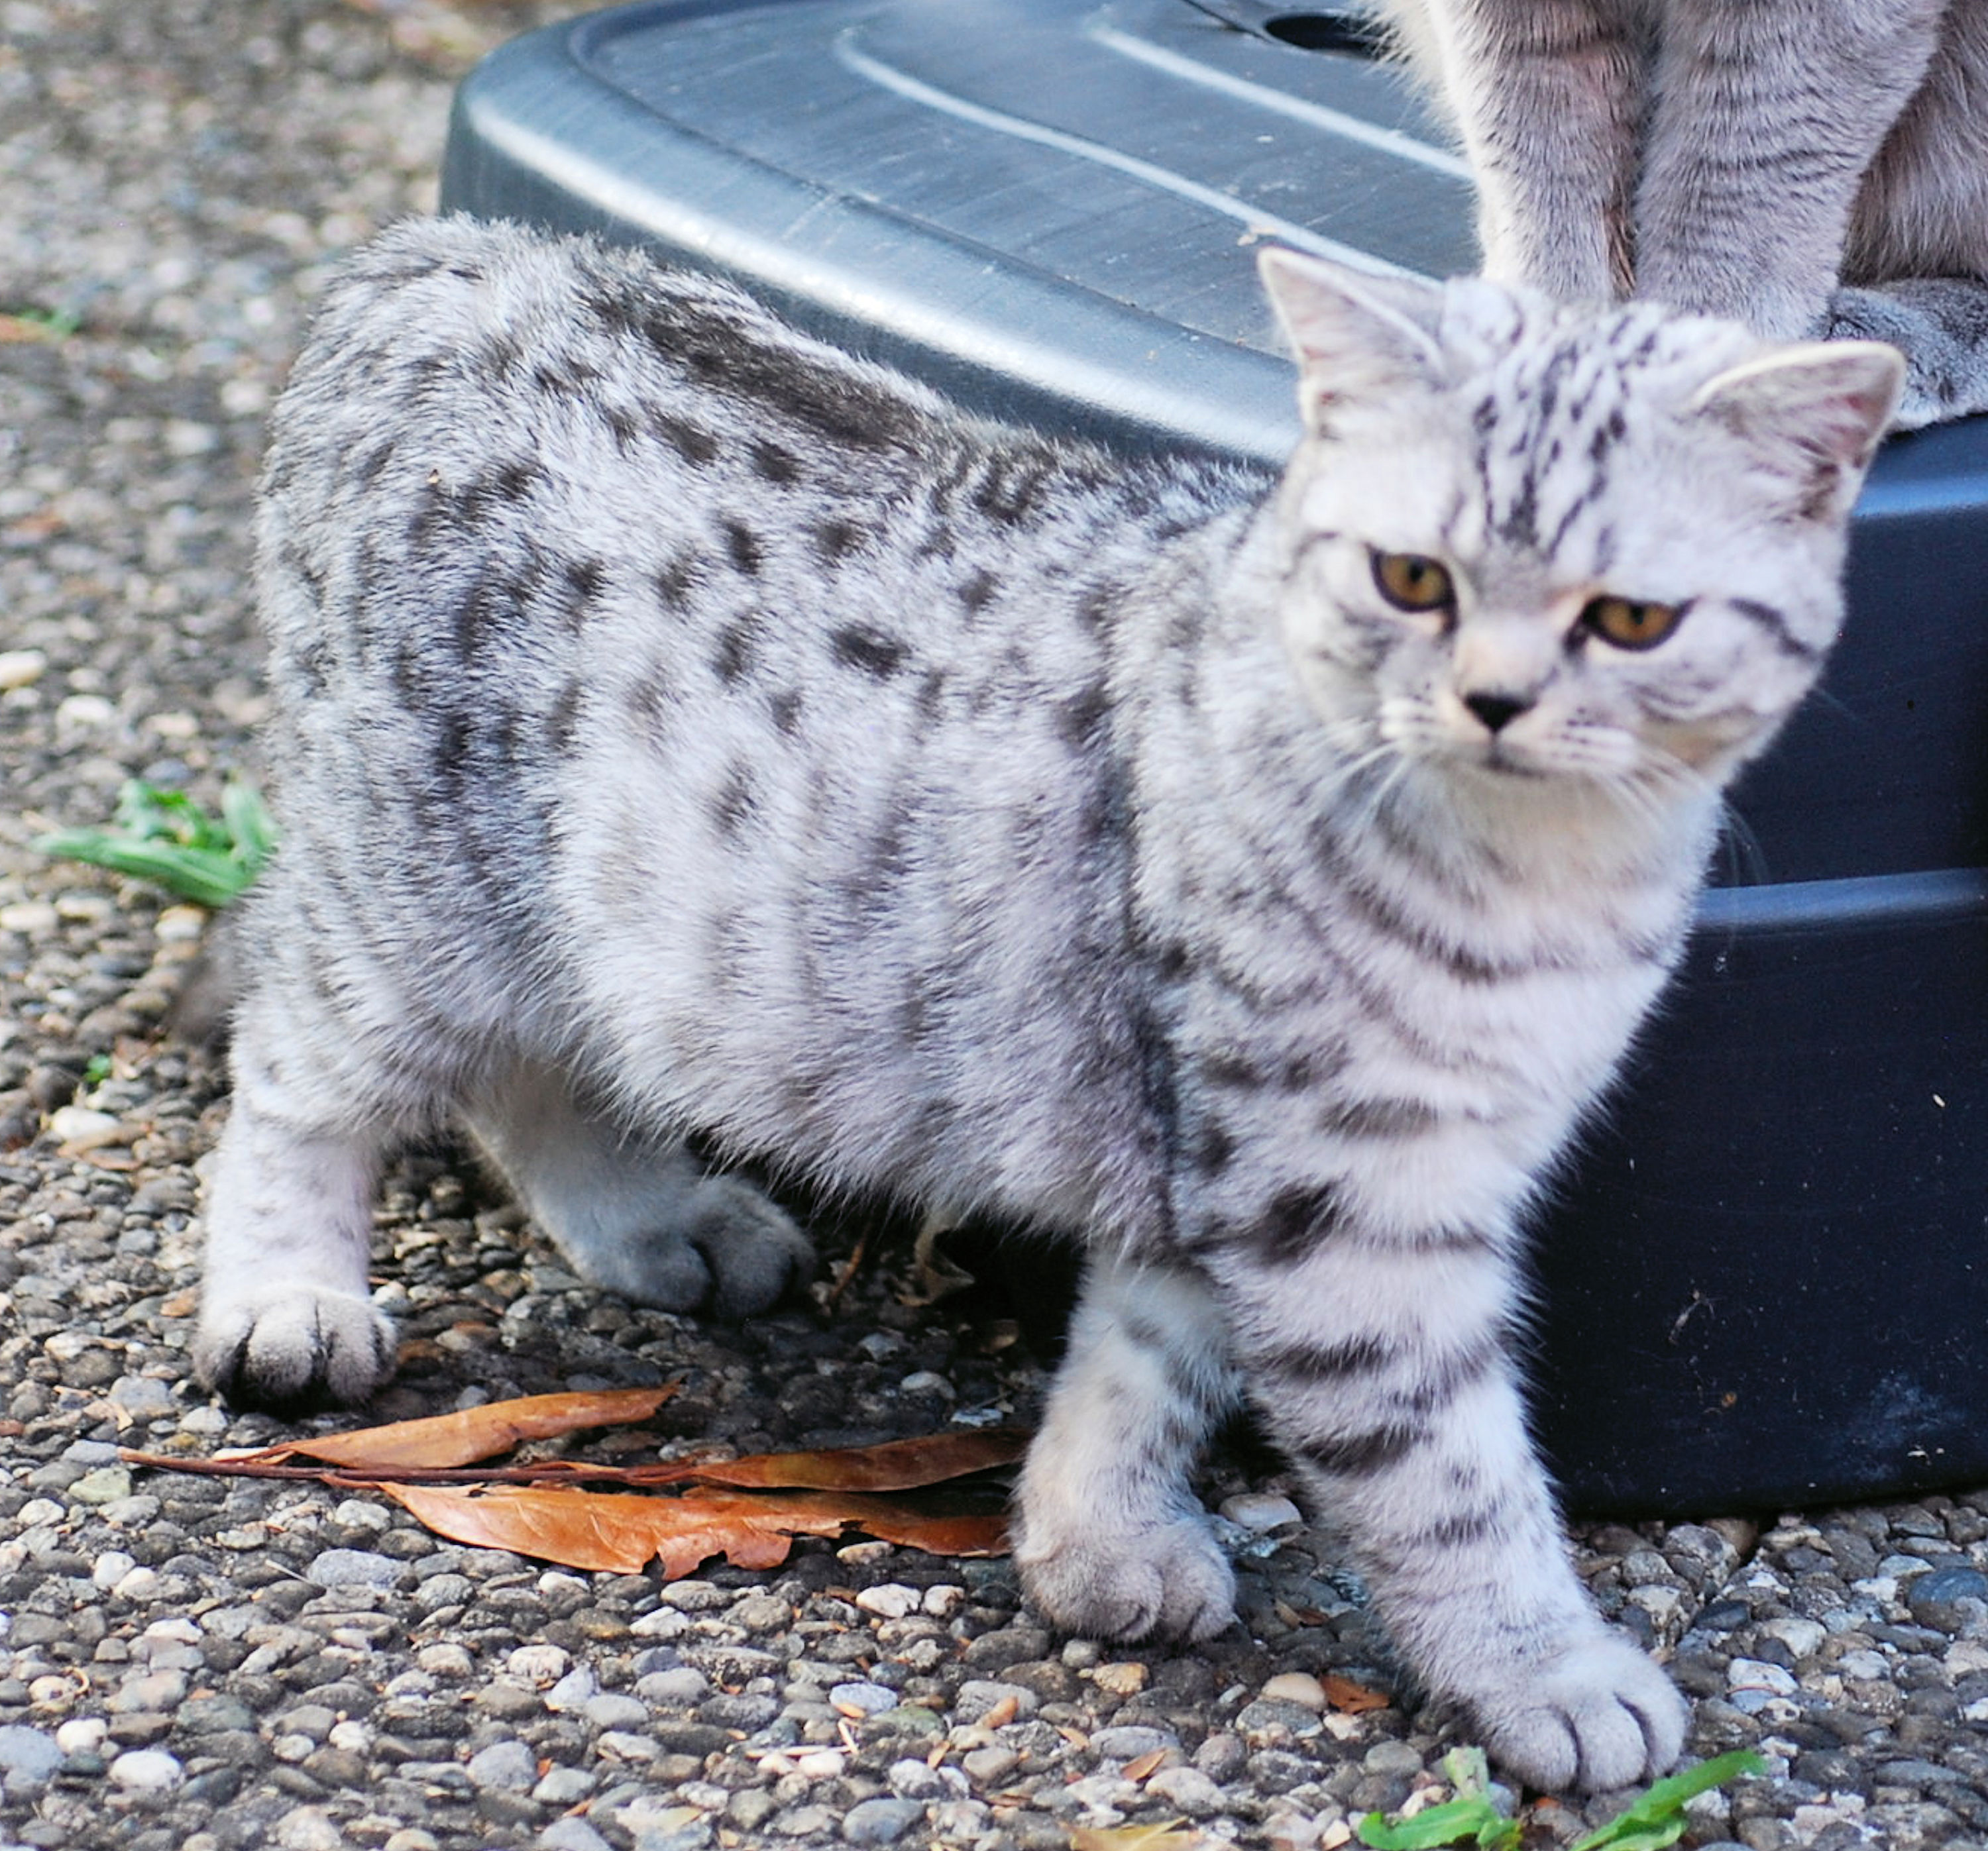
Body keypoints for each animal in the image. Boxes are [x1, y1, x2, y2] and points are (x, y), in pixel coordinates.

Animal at [193, 221, 1901, 1797]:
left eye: (1630, 620)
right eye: (1413, 578)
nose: (1490, 700)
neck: (1549, 883)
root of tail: (450, 256)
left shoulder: (1219, 1148)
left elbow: (1144, 1359)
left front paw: (1094, 1535)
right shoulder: (1340, 1205)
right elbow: (1447, 1474)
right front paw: (1548, 1669)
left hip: (591, 928)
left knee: (531, 1070)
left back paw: (656, 1214)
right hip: (420, 891)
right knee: (293, 1045)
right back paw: (288, 1295)